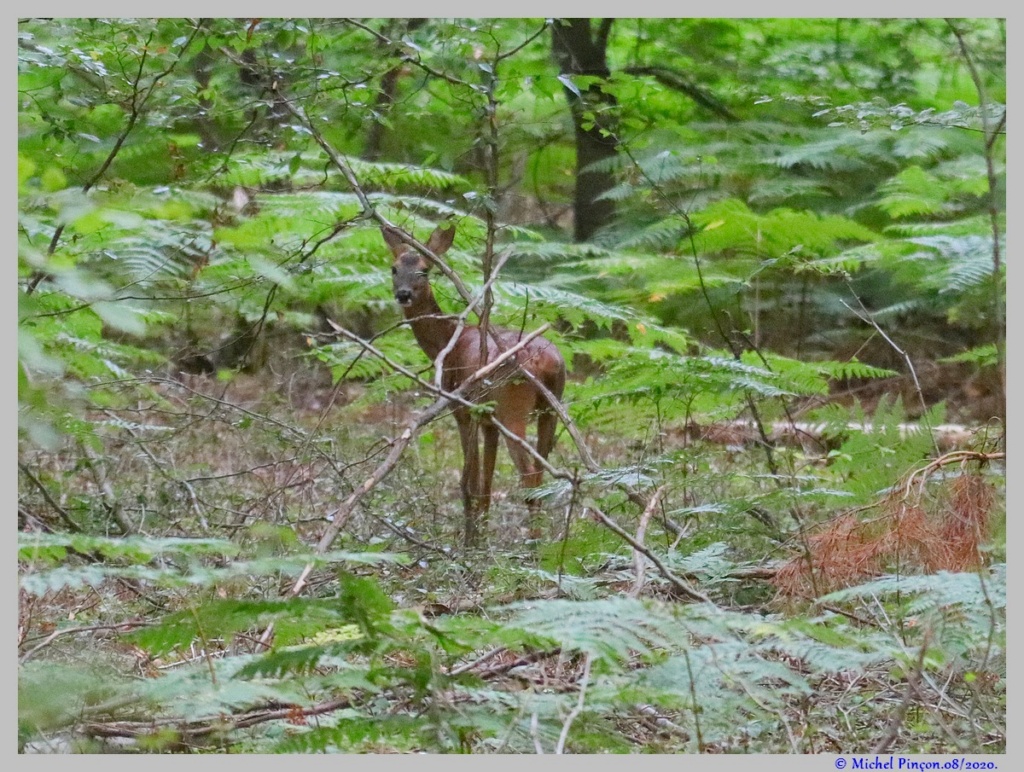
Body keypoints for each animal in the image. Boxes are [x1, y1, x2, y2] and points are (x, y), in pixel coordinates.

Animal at [385, 222, 569, 544]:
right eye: (394, 268)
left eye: (425, 270)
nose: (403, 294)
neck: (447, 343)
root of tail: (549, 363)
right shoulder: (487, 420)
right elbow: (486, 486)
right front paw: (480, 539)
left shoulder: (464, 410)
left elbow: (469, 481)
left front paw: (471, 542)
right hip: (551, 408)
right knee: (540, 475)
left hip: (513, 407)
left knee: (529, 478)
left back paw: (534, 548)